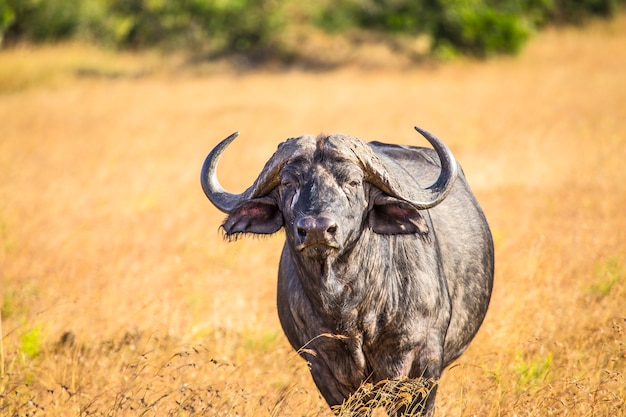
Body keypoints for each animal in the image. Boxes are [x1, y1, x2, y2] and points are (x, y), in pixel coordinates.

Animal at [200, 127, 492, 416]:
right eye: (288, 183)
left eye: (353, 182)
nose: (316, 229)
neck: (350, 306)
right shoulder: (326, 370)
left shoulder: (422, 364)